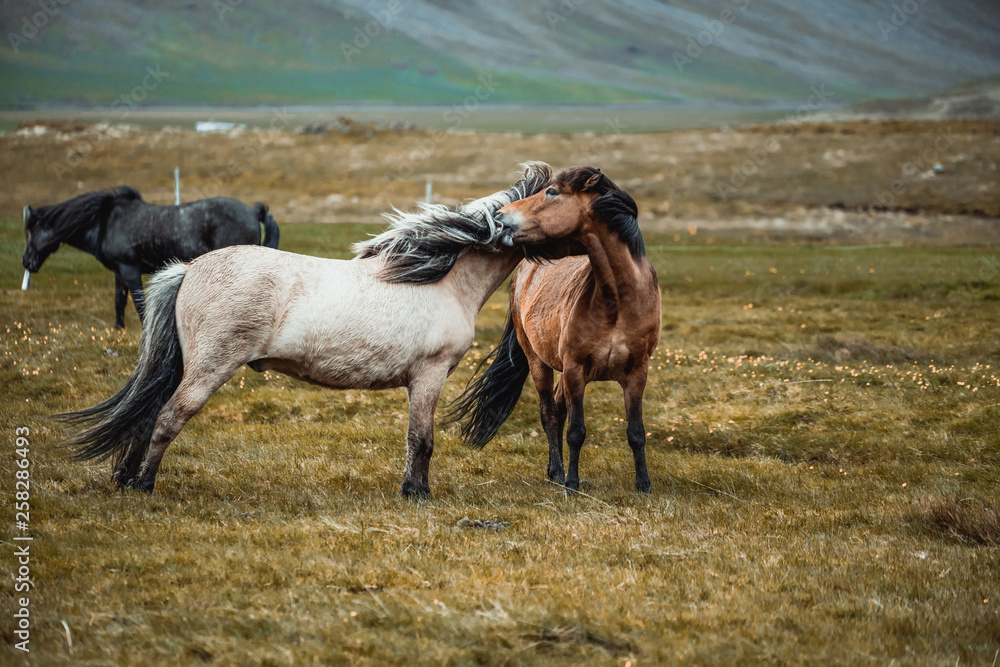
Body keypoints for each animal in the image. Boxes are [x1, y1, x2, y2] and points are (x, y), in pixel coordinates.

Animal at [23, 187, 282, 328]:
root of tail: (252, 212)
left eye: (31, 231)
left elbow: (139, 303)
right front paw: (118, 328)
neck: (105, 222)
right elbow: (119, 301)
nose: (26, 262)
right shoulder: (119, 272)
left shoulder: (129, 269)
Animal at [450, 166, 660, 490]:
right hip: (538, 362)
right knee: (550, 413)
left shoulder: (638, 371)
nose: (499, 215)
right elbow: (576, 431)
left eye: (551, 192)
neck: (619, 301)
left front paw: (644, 485)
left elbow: (636, 432)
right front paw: (572, 483)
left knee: (558, 409)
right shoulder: (575, 369)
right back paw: (557, 474)